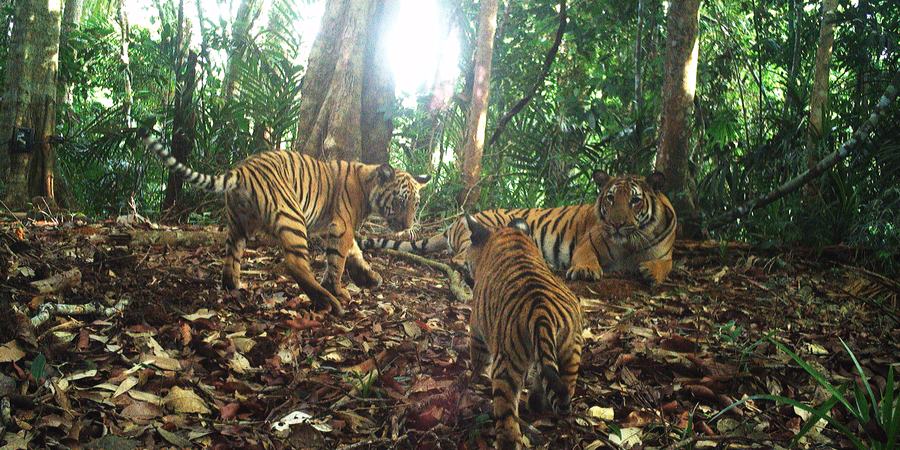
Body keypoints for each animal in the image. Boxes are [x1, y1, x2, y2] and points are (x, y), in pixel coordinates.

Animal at [141, 129, 430, 316]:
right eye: (401, 202)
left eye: (416, 204)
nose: (407, 226)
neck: (367, 184)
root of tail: (241, 170)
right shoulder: (342, 225)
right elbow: (338, 260)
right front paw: (338, 289)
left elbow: (355, 251)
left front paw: (368, 277)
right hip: (292, 216)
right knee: (294, 264)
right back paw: (328, 302)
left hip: (239, 224)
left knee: (232, 255)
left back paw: (233, 287)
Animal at [361, 170, 677, 285]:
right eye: (610, 199)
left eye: (635, 200)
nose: (617, 223)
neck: (629, 243)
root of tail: (454, 223)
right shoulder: (588, 240)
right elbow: (586, 256)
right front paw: (586, 270)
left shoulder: (665, 253)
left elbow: (665, 265)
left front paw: (651, 272)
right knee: (460, 256)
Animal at [464, 215, 583, 450]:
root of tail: (542, 313)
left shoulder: (477, 329)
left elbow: (479, 360)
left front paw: (474, 378)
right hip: (571, 348)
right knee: (563, 387)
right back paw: (541, 406)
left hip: (506, 367)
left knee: (507, 420)